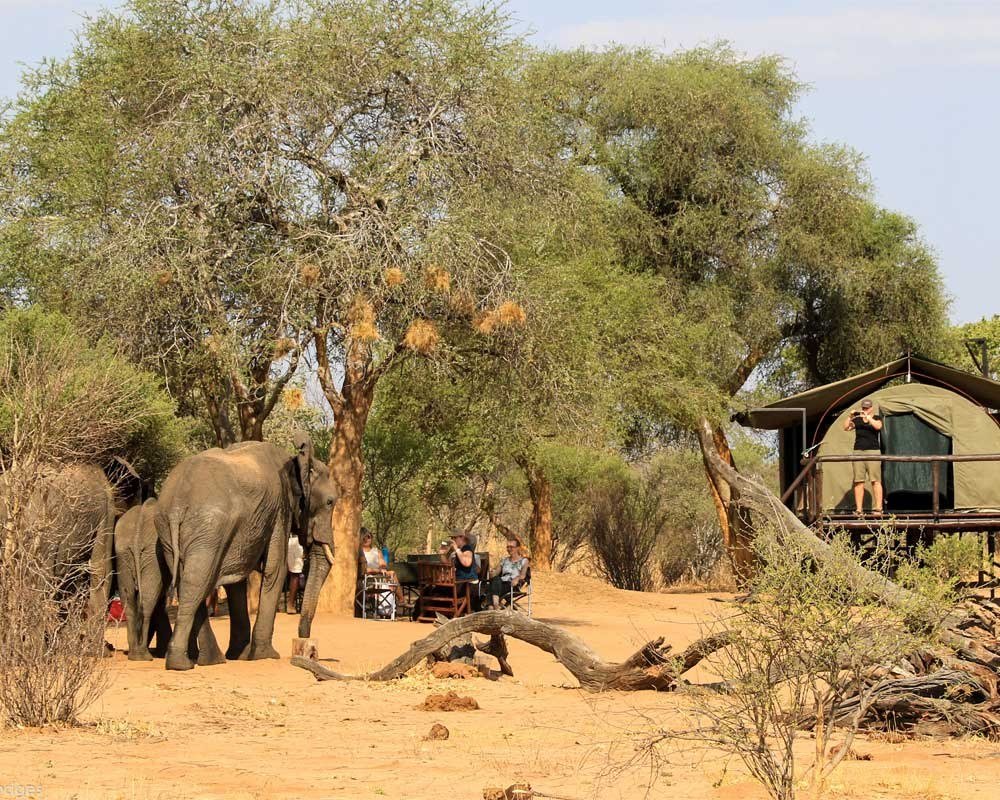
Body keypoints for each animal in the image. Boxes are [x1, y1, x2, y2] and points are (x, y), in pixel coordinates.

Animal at [114, 498, 171, 660]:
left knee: (129, 601)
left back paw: (135, 655)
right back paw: (144, 655)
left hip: (124, 554)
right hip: (153, 556)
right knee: (147, 603)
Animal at [155, 434, 337, 671]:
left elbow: (237, 581)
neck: (295, 460)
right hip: (209, 527)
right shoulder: (280, 508)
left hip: (168, 529)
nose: (304, 640)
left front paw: (239, 655)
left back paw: (211, 660)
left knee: (192, 581)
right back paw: (181, 664)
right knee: (196, 582)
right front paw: (266, 655)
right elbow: (275, 570)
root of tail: (176, 504)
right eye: (330, 502)